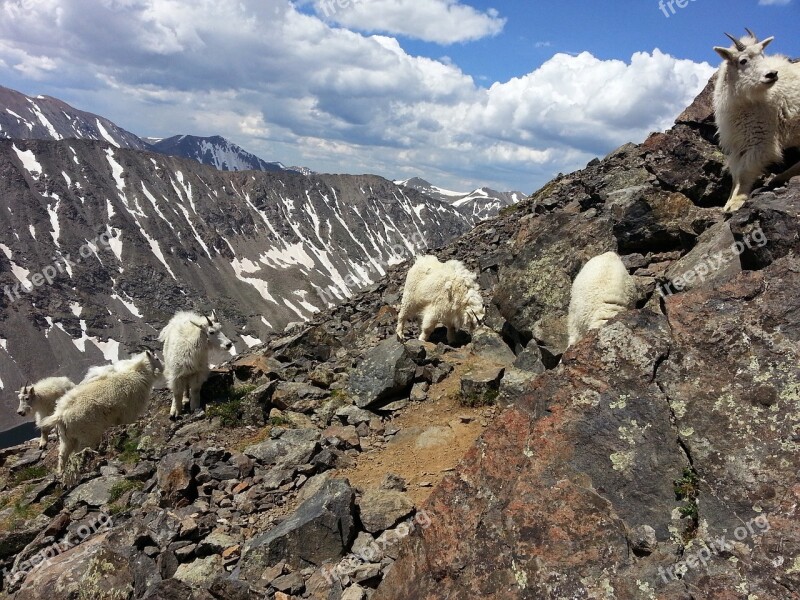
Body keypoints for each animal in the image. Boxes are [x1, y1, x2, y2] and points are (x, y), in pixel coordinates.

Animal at [712, 31, 800, 213]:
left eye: (762, 55)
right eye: (743, 60)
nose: (772, 74)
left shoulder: (760, 137)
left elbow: (744, 171)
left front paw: (735, 203)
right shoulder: (738, 141)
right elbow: (735, 174)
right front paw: (729, 200)